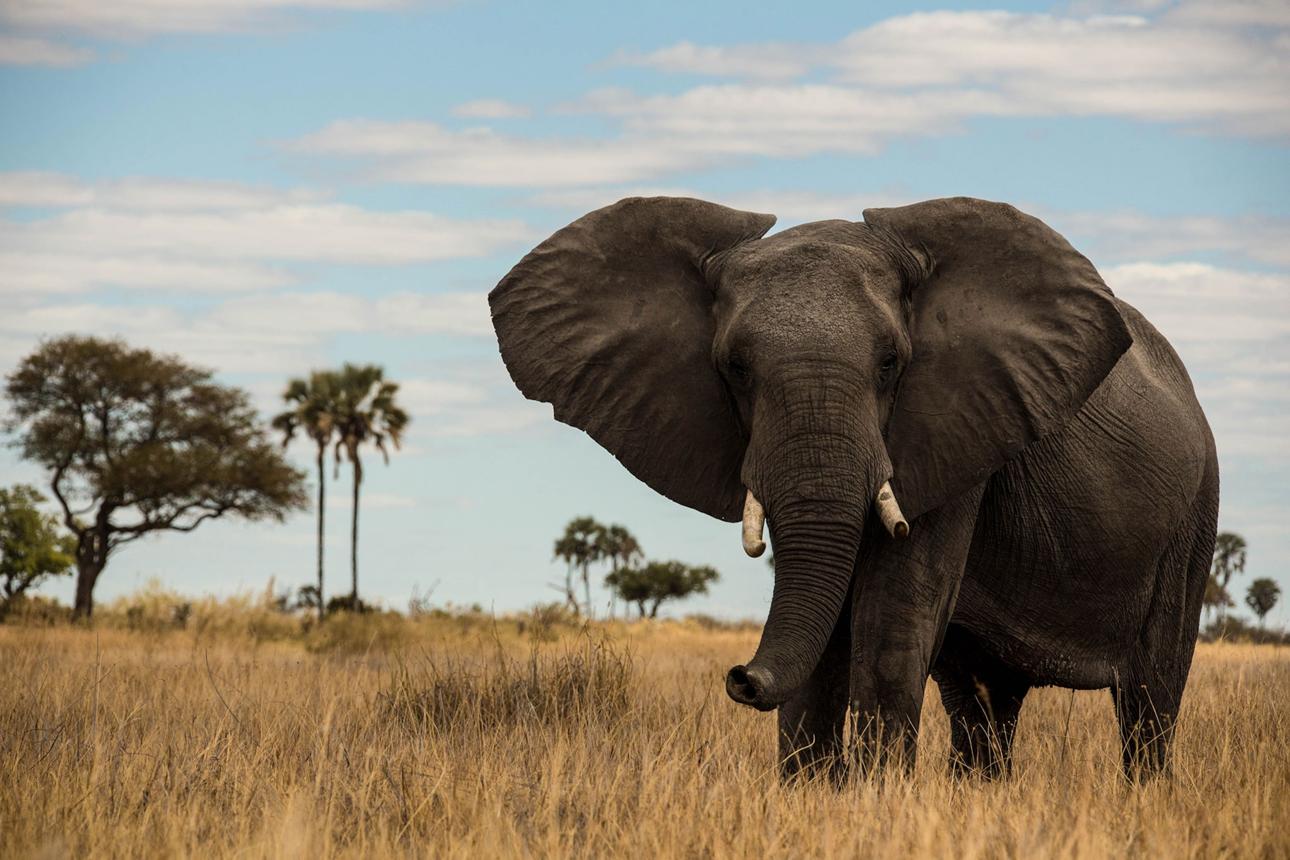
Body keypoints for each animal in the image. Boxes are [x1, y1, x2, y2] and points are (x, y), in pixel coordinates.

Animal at [488, 196, 1218, 782]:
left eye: (891, 363)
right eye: (735, 368)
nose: (740, 677)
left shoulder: (954, 427)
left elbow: (890, 619)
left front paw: (872, 797)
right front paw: (812, 795)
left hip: (1193, 517)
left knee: (1149, 698)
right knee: (982, 704)